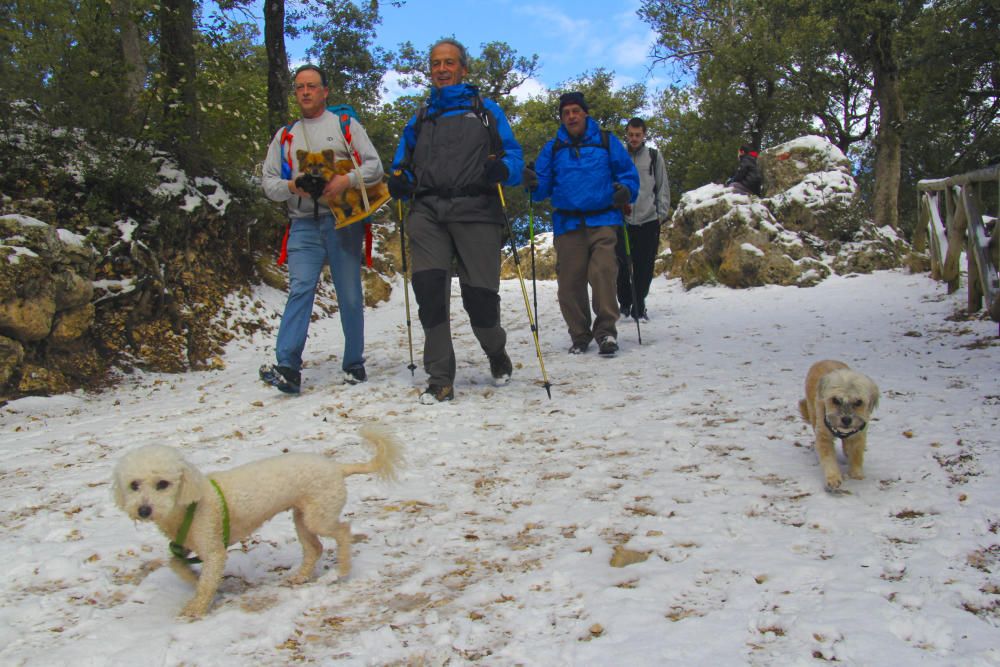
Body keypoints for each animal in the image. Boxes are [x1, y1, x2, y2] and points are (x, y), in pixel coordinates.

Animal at [113, 426, 402, 620]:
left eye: (163, 484)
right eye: (134, 485)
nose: (143, 510)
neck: (190, 503)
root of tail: (338, 468)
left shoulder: (214, 550)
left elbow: (206, 580)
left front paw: (196, 607)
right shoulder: (184, 547)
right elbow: (178, 566)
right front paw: (194, 580)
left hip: (319, 516)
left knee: (343, 532)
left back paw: (342, 570)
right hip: (302, 517)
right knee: (315, 549)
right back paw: (300, 576)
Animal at [800, 360, 880, 490]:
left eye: (858, 402)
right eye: (836, 400)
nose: (846, 420)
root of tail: (824, 360)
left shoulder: (858, 435)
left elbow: (856, 454)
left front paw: (856, 473)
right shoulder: (824, 436)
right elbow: (829, 460)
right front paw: (833, 479)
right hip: (813, 413)